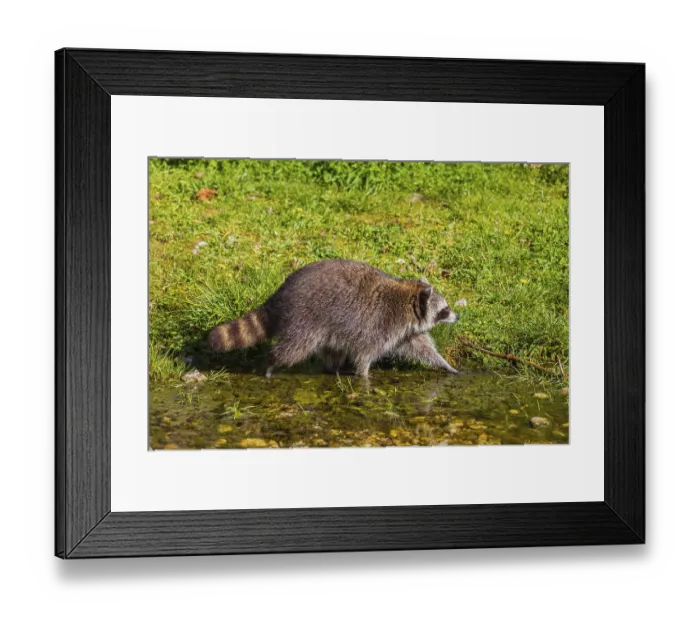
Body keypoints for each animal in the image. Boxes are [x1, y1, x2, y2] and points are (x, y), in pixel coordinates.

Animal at [208, 259, 460, 377]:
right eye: (445, 309)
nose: (457, 316)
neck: (409, 300)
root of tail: (282, 290)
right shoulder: (382, 324)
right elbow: (364, 354)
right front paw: (364, 376)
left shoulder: (405, 331)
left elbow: (421, 348)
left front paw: (445, 365)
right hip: (305, 318)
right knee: (295, 348)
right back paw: (272, 361)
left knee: (332, 349)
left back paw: (333, 369)